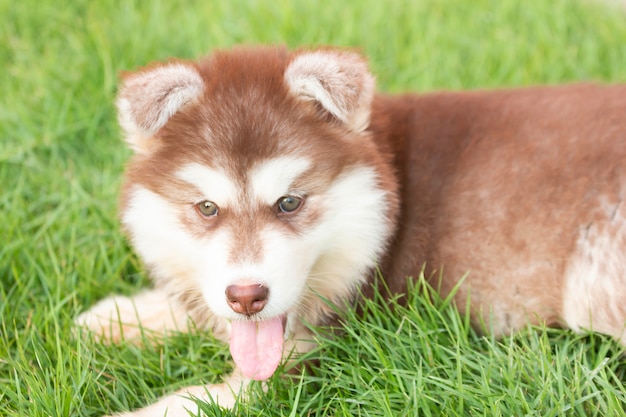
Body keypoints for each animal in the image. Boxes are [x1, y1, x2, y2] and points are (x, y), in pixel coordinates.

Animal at [78, 46, 624, 416]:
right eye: (207, 208)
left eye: (290, 202)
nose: (247, 297)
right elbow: (192, 307)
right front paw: (119, 317)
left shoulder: (325, 346)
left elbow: (204, 399)